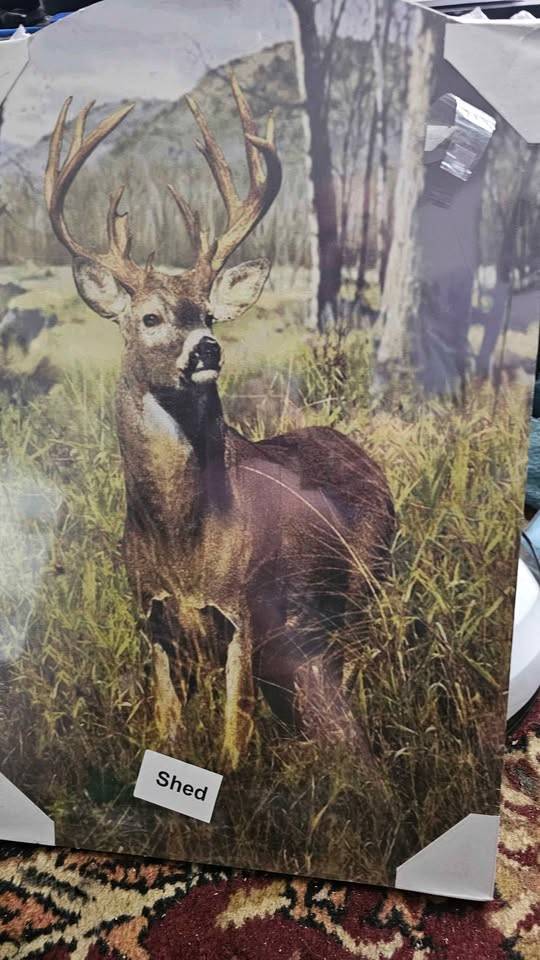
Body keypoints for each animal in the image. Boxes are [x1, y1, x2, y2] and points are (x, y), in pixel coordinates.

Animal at [45, 77, 395, 771]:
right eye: (150, 317)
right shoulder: (150, 616)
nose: (207, 348)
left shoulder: (245, 610)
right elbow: (166, 730)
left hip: (368, 573)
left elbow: (234, 735)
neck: (182, 542)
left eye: (208, 312)